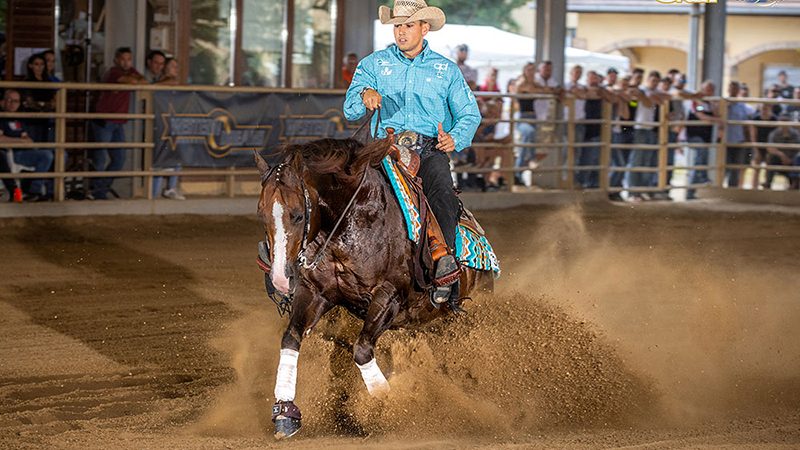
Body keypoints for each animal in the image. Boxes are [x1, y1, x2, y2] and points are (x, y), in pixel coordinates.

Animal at [256, 138, 494, 440]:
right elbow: (291, 338)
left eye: (298, 216)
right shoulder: (315, 293)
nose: (279, 279)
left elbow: (362, 350)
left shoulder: (388, 297)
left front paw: (385, 407)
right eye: (261, 214)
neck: (352, 220)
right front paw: (285, 413)